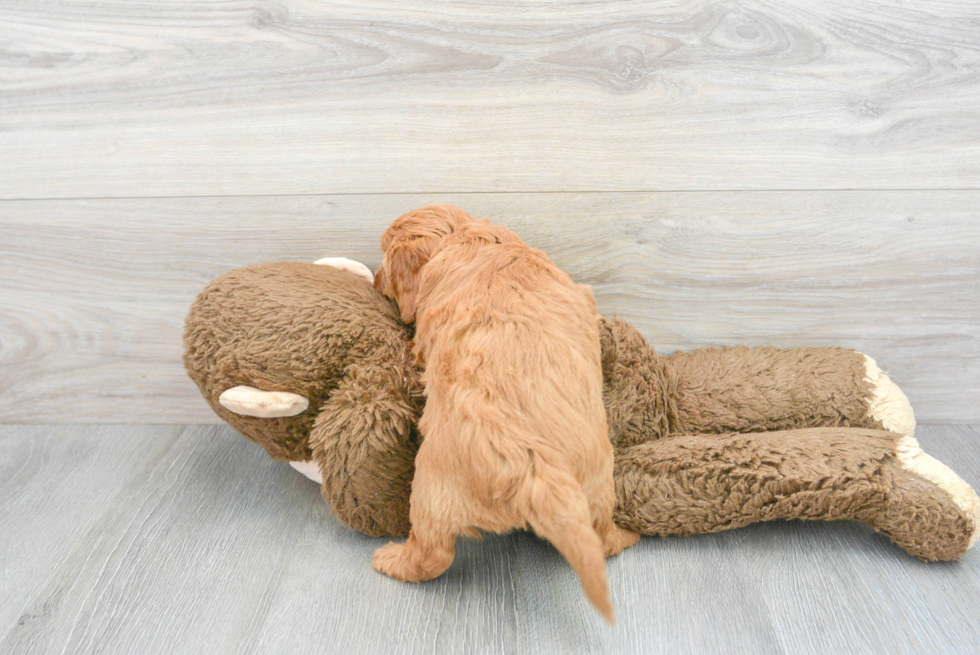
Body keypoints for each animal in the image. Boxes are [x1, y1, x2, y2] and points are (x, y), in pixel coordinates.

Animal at [372, 205, 640, 624]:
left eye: (384, 259)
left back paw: (391, 559)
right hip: (598, 485)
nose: (373, 279)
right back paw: (626, 538)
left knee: (432, 556)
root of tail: (536, 464)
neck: (468, 236)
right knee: (601, 535)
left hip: (430, 490)